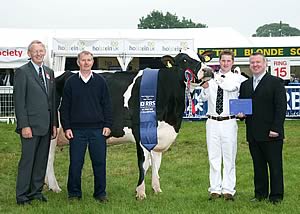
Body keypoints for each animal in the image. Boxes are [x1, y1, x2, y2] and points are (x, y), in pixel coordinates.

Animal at [45, 49, 213, 200]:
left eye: (201, 58)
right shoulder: (141, 133)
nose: (208, 70)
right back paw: (55, 187)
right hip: (53, 132)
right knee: (49, 159)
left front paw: (157, 189)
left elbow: (156, 163)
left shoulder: (159, 134)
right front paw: (141, 192)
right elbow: (143, 163)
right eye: (184, 60)